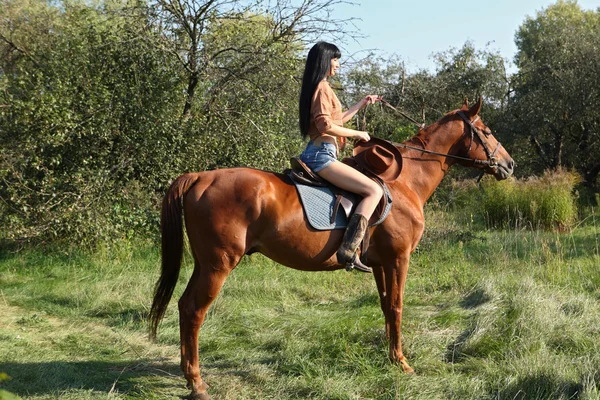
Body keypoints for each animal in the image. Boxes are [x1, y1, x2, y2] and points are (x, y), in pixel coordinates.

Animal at [150, 98, 516, 398]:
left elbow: (386, 307)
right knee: (194, 310)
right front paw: (403, 363)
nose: (509, 165)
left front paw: (390, 357)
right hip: (218, 266)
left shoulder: (380, 263)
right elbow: (397, 307)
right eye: (486, 131)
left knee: (183, 306)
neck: (404, 181)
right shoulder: (399, 260)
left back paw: (187, 374)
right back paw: (197, 383)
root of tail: (200, 177)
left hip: (204, 264)